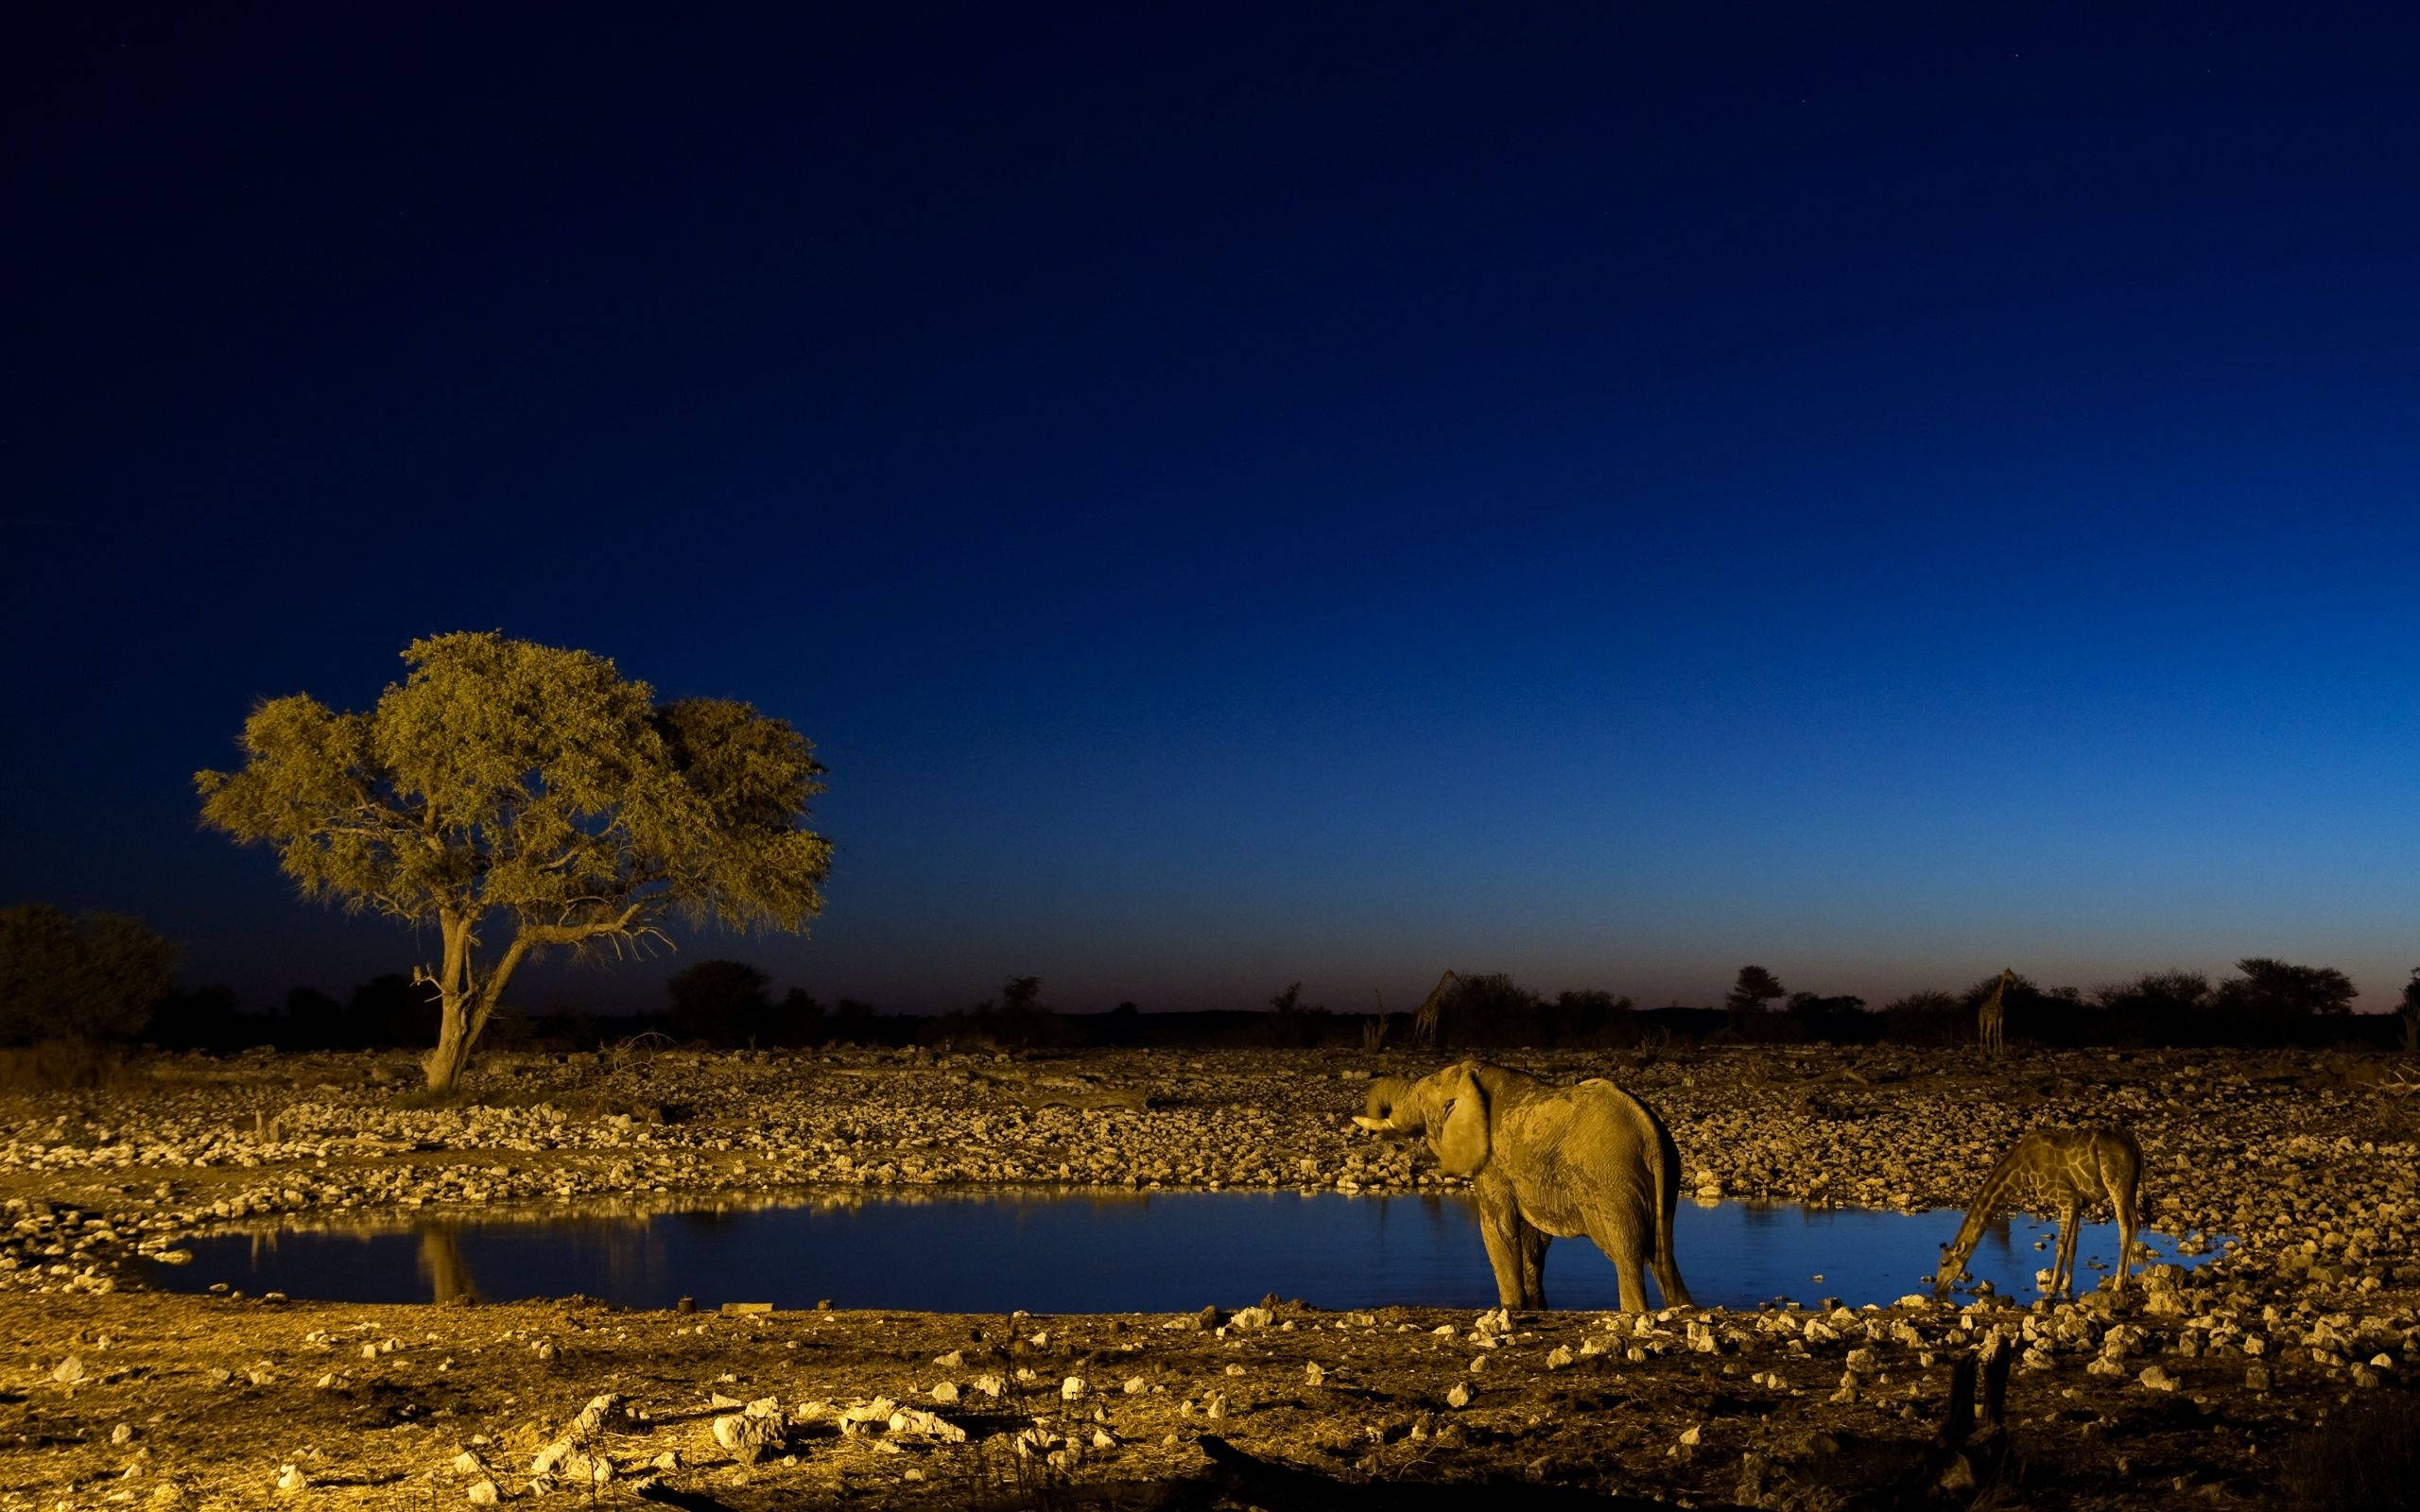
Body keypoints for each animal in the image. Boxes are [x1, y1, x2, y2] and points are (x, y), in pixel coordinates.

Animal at [1355, 1060, 1691, 1313]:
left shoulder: (1492, 1164)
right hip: (1665, 1177)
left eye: (1420, 1098)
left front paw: (1510, 1309)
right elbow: (1533, 1240)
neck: (1470, 1076)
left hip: (1611, 1181)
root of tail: (1649, 1129)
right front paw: (1535, 1308)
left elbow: (1498, 1227)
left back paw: (1634, 1311)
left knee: (1627, 1253)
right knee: (1663, 1254)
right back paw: (1681, 1308)